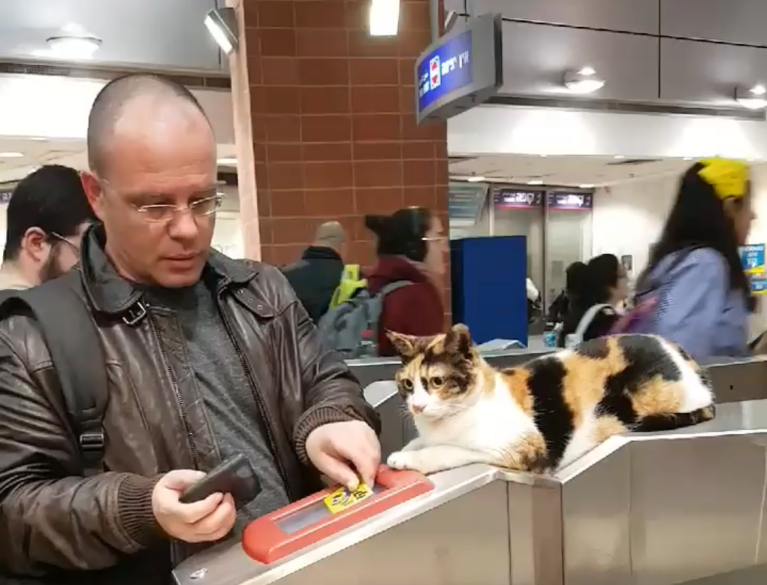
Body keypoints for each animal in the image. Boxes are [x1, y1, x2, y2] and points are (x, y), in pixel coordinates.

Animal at [388, 322, 716, 476]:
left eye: (437, 382)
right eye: (407, 384)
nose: (417, 406)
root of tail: (679, 351)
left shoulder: (522, 447)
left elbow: (446, 450)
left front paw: (407, 459)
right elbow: (418, 441)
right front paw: (404, 449)